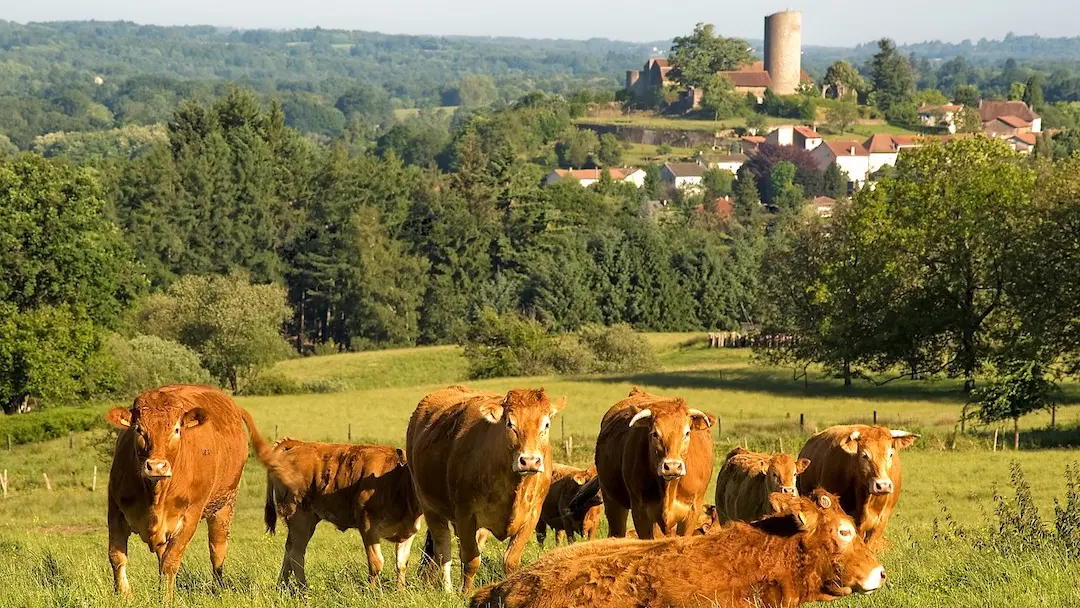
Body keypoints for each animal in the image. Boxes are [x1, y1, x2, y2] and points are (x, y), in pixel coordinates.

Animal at [105, 385, 270, 598]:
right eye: (139, 429)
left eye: (176, 429)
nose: (156, 467)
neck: (155, 495)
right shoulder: (115, 511)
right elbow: (117, 557)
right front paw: (125, 596)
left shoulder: (189, 518)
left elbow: (170, 562)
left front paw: (166, 599)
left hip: (225, 505)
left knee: (217, 550)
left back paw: (217, 588)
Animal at [261, 438, 423, 590]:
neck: (396, 483)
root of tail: (298, 444)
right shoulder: (367, 525)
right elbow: (376, 562)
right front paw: (372, 592)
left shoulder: (408, 530)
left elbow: (401, 564)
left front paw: (400, 591)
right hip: (299, 517)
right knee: (296, 552)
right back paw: (303, 589)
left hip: (308, 520)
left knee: (289, 549)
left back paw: (282, 586)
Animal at [406, 385, 565, 593]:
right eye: (510, 423)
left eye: (546, 424)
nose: (529, 461)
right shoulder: (465, 514)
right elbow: (471, 560)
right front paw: (465, 593)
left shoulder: (532, 516)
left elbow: (510, 560)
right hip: (429, 506)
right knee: (443, 549)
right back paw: (448, 589)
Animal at [587, 388, 715, 539]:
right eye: (655, 434)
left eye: (687, 433)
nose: (672, 467)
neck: (669, 488)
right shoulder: (641, 511)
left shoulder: (692, 511)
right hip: (612, 501)